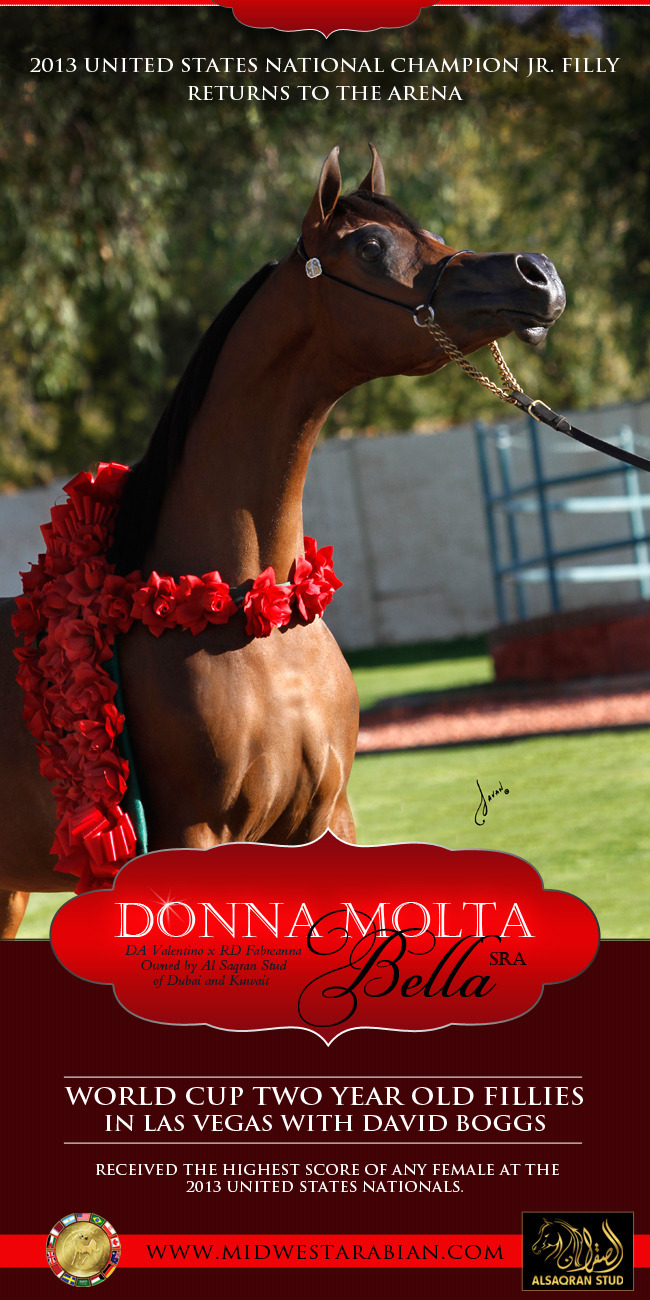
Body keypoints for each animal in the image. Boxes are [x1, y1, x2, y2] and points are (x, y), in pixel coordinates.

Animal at [0, 145, 566, 937]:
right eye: (369, 245)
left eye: (425, 229)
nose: (536, 272)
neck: (246, 614)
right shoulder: (192, 836)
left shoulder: (325, 817)